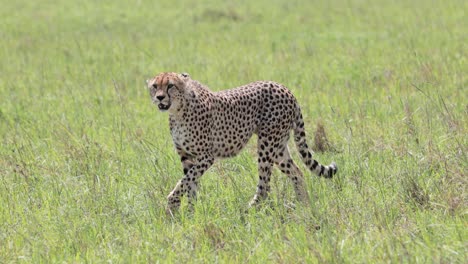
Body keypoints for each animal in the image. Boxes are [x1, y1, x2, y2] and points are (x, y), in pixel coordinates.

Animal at [146, 72, 336, 212]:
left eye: (170, 85)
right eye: (155, 86)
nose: (160, 97)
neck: (178, 111)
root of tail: (284, 88)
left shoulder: (206, 156)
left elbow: (185, 181)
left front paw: (173, 204)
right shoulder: (187, 156)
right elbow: (190, 183)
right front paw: (192, 212)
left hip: (267, 145)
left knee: (265, 187)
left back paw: (247, 210)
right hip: (279, 148)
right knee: (297, 173)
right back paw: (303, 205)